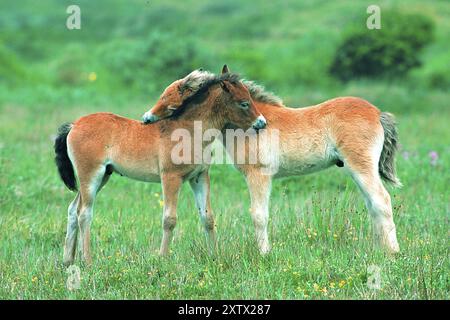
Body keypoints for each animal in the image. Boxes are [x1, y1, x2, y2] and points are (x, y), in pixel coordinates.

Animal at [54, 70, 266, 264]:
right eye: (244, 103)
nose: (262, 123)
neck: (189, 131)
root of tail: (74, 125)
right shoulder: (170, 177)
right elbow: (169, 219)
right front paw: (162, 258)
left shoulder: (199, 176)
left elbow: (207, 217)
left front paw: (214, 256)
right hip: (90, 175)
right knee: (84, 213)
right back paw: (87, 261)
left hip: (102, 176)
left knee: (73, 209)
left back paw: (68, 261)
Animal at [143, 65, 400, 255]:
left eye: (171, 101)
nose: (146, 118)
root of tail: (377, 113)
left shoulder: (259, 174)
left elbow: (259, 214)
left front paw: (264, 253)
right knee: (372, 203)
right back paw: (378, 250)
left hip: (361, 166)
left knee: (382, 200)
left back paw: (393, 252)